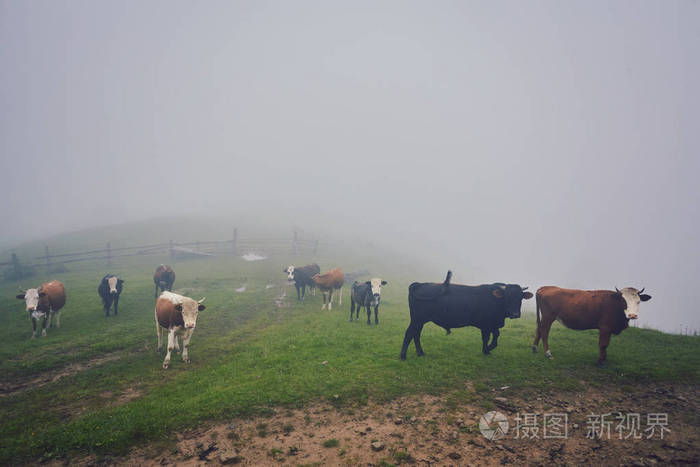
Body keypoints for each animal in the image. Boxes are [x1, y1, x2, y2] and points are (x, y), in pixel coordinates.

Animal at [400, 272, 532, 360]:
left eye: (520, 297)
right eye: (507, 297)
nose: (515, 314)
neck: (495, 300)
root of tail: (420, 284)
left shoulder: (491, 325)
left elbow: (493, 337)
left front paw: (486, 350)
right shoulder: (487, 325)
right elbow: (488, 338)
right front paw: (486, 350)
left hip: (419, 321)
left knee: (416, 334)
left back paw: (420, 353)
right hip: (417, 319)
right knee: (409, 333)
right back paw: (403, 356)